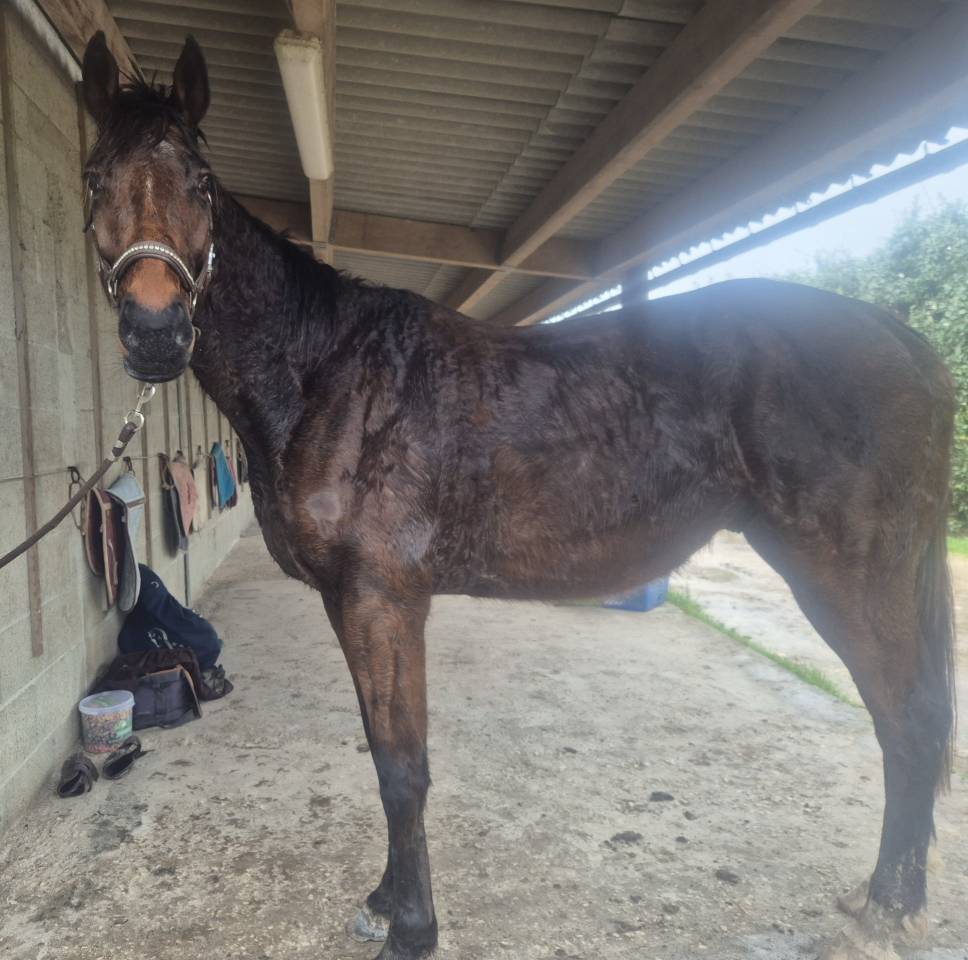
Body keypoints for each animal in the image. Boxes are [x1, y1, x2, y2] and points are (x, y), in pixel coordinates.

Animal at [79, 32, 956, 960]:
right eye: (96, 177)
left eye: (201, 182)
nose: (155, 332)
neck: (328, 372)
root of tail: (904, 341)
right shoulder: (347, 603)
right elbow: (383, 752)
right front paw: (387, 900)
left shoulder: (384, 600)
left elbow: (403, 768)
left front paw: (413, 929)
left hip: (853, 575)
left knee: (909, 722)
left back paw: (889, 909)